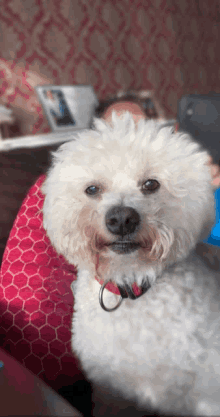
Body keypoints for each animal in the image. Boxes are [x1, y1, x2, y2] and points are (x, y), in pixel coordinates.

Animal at [42, 112, 220, 414]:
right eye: (92, 189)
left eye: (151, 184)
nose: (122, 219)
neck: (130, 282)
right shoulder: (110, 388)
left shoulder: (191, 393)